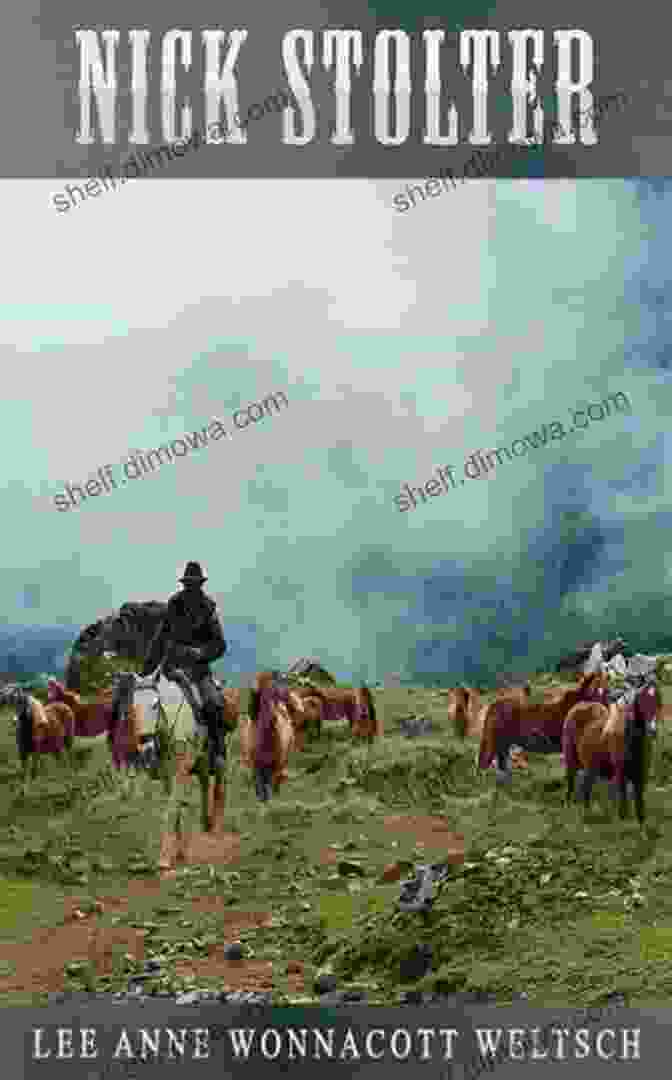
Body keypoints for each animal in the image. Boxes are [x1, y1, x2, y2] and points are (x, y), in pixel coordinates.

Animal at [561, 673, 665, 825]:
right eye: (642, 699)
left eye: (658, 698)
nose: (652, 730)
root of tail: (579, 706)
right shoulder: (620, 774)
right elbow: (623, 804)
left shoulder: (641, 774)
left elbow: (640, 804)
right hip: (571, 760)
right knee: (570, 783)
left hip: (590, 766)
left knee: (586, 787)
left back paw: (587, 814)